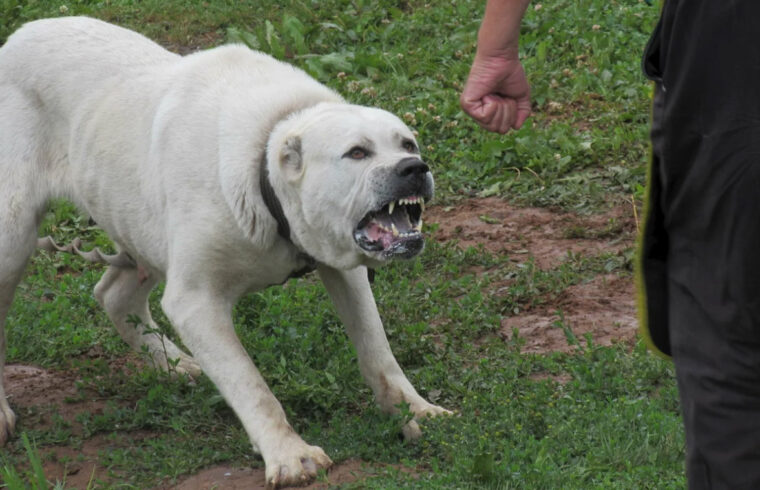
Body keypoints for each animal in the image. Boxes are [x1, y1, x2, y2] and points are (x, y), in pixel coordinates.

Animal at [0, 17, 448, 488]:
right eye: (357, 153)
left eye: (408, 144)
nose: (415, 169)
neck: (265, 172)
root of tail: (20, 35)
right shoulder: (196, 301)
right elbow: (251, 385)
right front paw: (289, 455)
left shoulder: (345, 270)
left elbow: (378, 351)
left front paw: (416, 411)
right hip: (13, 237)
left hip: (140, 225)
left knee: (114, 295)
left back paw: (174, 365)